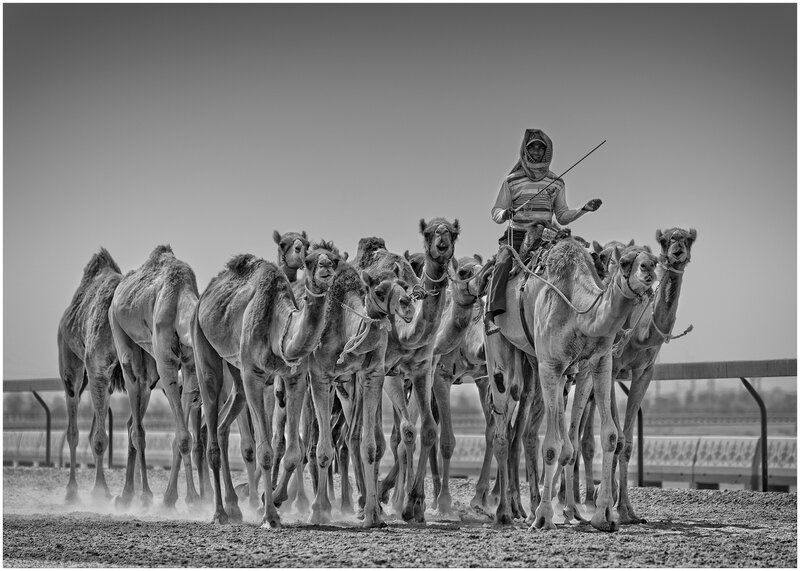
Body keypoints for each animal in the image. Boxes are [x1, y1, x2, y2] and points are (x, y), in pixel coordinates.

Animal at [57, 248, 125, 501]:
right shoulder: (97, 368)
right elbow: (99, 438)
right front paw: (100, 492)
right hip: (71, 365)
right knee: (74, 429)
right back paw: (71, 491)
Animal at [108, 245, 204, 509]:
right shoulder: (167, 364)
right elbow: (183, 437)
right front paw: (192, 499)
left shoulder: (190, 367)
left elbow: (182, 435)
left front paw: (175, 498)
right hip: (121, 336)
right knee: (137, 428)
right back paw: (141, 495)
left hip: (148, 368)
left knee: (134, 419)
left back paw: (129, 495)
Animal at [192, 241, 342, 527]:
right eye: (309, 261)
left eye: (335, 260)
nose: (326, 267)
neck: (277, 326)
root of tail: (205, 296)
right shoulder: (254, 375)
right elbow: (265, 452)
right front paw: (270, 517)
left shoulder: (294, 377)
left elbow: (293, 453)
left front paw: (270, 502)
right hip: (202, 343)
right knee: (211, 420)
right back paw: (219, 513)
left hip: (236, 370)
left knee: (223, 423)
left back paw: (234, 508)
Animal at [360, 218, 460, 523]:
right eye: (428, 233)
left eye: (454, 233)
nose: (442, 244)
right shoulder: (388, 372)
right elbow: (406, 432)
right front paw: (403, 504)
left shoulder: (422, 369)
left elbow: (426, 429)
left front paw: (415, 504)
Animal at [489, 237, 658, 531]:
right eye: (625, 262)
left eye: (654, 259)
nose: (648, 268)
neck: (578, 311)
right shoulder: (551, 365)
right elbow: (551, 446)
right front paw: (544, 517)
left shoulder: (597, 363)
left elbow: (608, 436)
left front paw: (604, 516)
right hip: (499, 347)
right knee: (503, 428)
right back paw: (505, 513)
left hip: (536, 363)